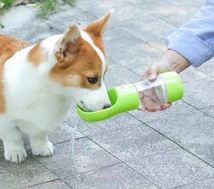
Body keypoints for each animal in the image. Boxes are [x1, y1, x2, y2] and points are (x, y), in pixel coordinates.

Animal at [0, 11, 113, 163]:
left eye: (104, 75)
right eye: (91, 79)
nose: (107, 107)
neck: (50, 92)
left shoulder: (46, 121)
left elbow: (39, 134)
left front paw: (41, 147)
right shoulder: (5, 120)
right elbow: (13, 136)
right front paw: (16, 152)